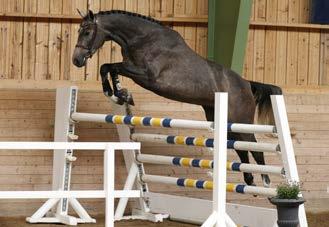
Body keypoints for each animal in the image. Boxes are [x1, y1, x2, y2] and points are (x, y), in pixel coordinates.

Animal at [72, 9, 282, 187]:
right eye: (79, 31)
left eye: (87, 32)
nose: (76, 60)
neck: (142, 38)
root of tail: (247, 83)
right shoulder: (131, 68)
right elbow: (109, 68)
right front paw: (120, 95)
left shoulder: (147, 75)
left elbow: (109, 66)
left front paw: (117, 93)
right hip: (223, 120)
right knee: (241, 148)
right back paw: (249, 180)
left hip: (240, 121)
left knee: (254, 147)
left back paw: (265, 181)